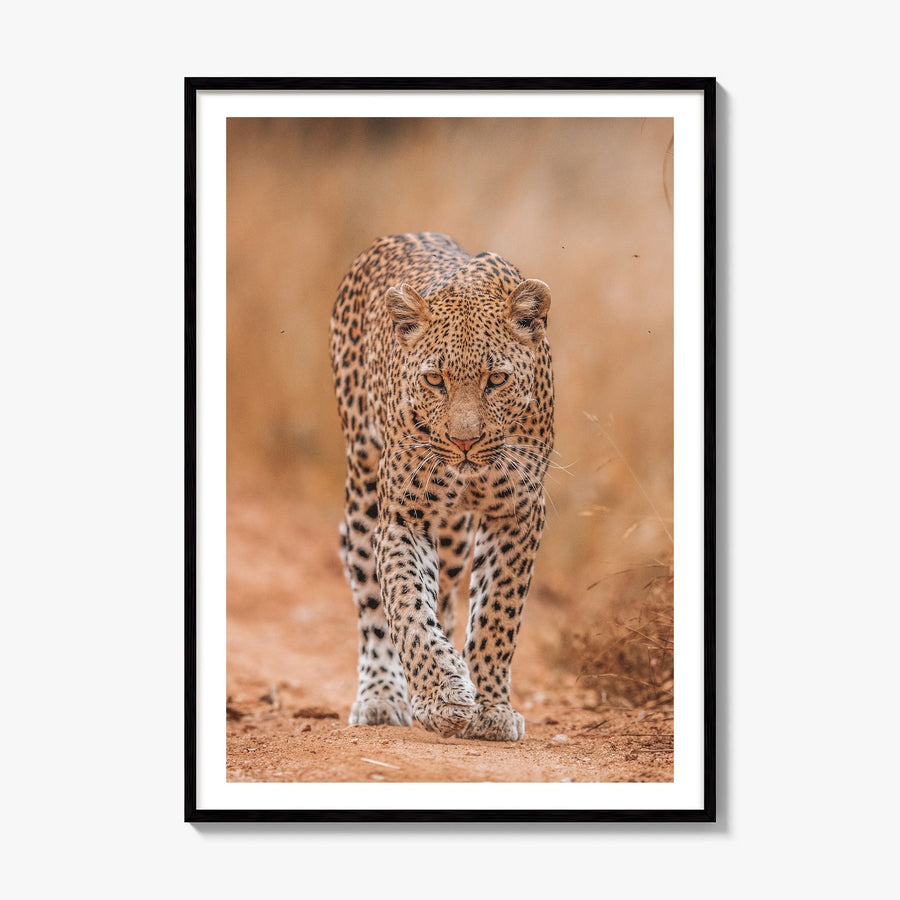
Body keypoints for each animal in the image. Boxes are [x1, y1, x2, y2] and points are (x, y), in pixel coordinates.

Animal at [329, 232, 553, 742]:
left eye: (497, 379)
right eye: (434, 379)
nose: (464, 441)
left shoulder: (518, 512)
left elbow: (496, 613)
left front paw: (489, 708)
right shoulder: (403, 516)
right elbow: (407, 606)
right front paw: (440, 696)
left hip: (453, 536)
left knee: (449, 596)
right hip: (363, 489)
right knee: (371, 598)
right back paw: (382, 696)